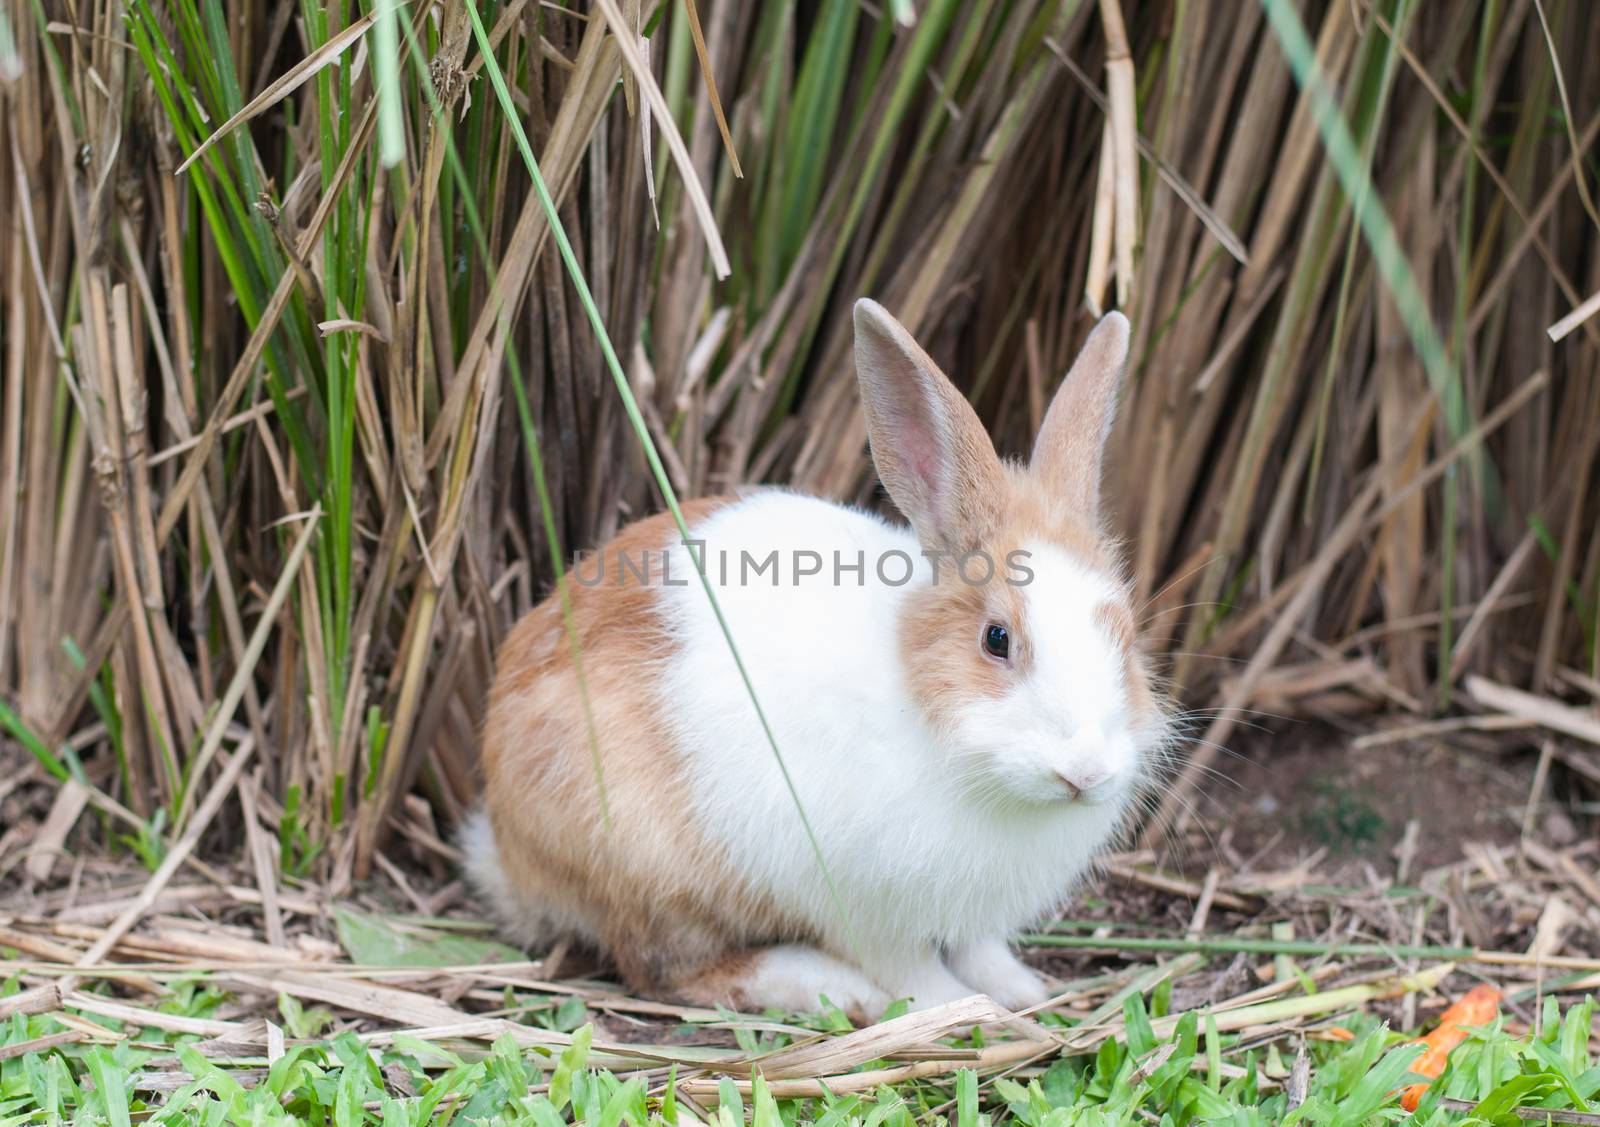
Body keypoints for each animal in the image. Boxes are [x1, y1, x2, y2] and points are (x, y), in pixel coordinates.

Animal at [464, 299, 1164, 1024]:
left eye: (1126, 636)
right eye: (996, 638)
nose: (1085, 771)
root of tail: (508, 852)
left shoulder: (969, 912)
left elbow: (980, 947)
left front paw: (1021, 989)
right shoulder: (864, 905)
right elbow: (910, 967)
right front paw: (956, 1008)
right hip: (650, 869)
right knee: (665, 969)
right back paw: (830, 987)